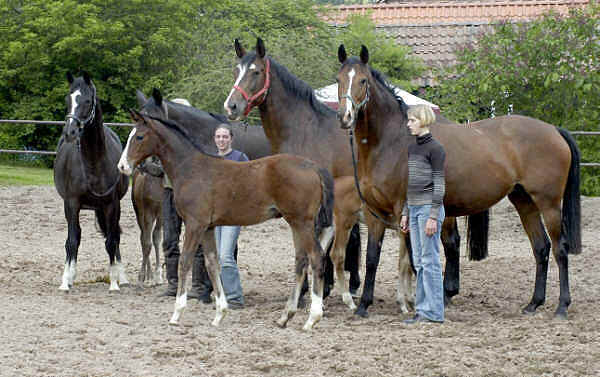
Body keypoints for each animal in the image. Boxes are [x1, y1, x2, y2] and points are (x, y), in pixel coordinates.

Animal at [53, 72, 129, 292]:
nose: (69, 132)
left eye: (87, 101)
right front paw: (65, 281)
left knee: (115, 236)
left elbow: (111, 241)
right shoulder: (71, 203)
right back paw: (71, 276)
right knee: (77, 236)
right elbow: (72, 240)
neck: (94, 161)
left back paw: (122, 276)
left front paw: (114, 282)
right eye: (68, 99)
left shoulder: (112, 204)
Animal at [117, 110, 332, 328]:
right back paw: (285, 316)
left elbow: (185, 262)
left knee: (316, 256)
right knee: (301, 260)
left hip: (302, 222)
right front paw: (220, 314)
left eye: (139, 137)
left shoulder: (195, 224)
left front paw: (177, 314)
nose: (123, 166)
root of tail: (313, 167)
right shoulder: (207, 227)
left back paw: (312, 318)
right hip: (295, 223)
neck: (191, 169)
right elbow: (212, 263)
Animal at [223, 37, 376, 312]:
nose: (231, 106)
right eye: (236, 70)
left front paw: (309, 291)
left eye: (256, 72)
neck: (304, 130)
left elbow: (310, 247)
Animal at [336, 45, 580, 318]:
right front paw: (364, 305)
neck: (392, 142)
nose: (345, 116)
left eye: (363, 80)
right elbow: (372, 258)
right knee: (541, 247)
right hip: (524, 201)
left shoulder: (403, 211)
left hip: (549, 204)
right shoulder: (374, 212)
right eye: (339, 79)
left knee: (560, 248)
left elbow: (413, 259)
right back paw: (533, 303)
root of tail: (554, 130)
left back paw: (561, 306)